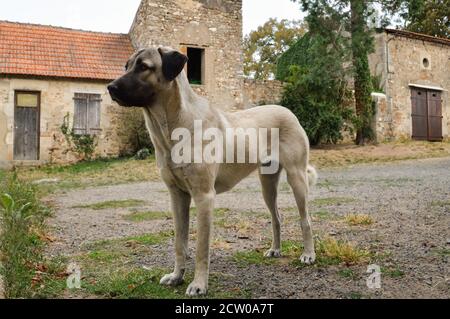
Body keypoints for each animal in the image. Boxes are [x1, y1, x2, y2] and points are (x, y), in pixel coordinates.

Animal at [108, 47, 316, 298]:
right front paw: (176, 277)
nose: (110, 87)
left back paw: (309, 254)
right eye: (126, 66)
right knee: (276, 217)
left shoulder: (204, 197)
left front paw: (199, 284)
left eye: (143, 66)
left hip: (297, 178)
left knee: (306, 219)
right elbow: (179, 243)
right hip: (267, 185)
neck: (172, 128)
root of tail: (287, 110)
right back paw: (275, 249)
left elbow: (201, 248)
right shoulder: (177, 196)